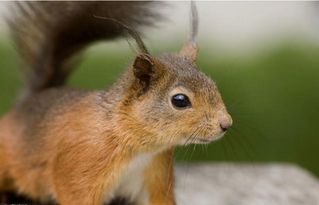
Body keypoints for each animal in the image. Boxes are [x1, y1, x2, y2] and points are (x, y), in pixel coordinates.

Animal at [0, 1, 232, 205]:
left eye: (212, 83)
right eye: (180, 100)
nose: (226, 124)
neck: (141, 148)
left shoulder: (155, 178)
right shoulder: (79, 170)